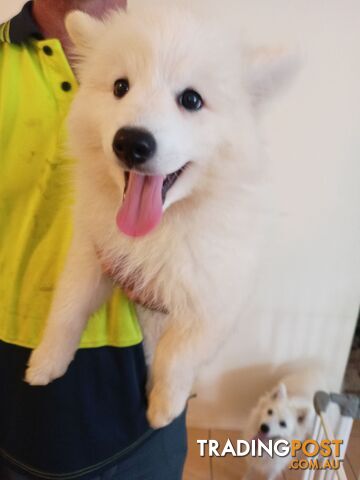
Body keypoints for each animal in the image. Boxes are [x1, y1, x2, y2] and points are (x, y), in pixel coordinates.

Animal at [23, 0, 296, 428]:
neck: (160, 229)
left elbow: (175, 356)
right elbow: (67, 309)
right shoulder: (92, 253)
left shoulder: (216, 299)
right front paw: (46, 362)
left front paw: (164, 407)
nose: (131, 143)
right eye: (120, 87)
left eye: (192, 100)